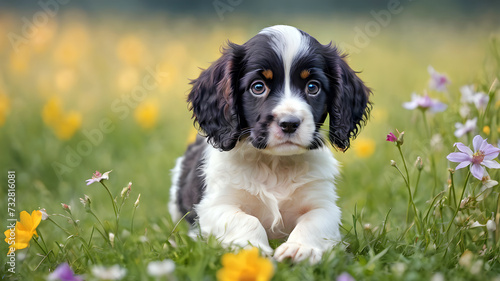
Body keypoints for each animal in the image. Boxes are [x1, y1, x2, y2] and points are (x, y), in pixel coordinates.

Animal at [170, 25, 370, 264]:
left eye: (313, 87)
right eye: (258, 87)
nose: (289, 123)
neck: (275, 164)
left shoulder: (323, 203)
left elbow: (314, 221)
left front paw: (300, 249)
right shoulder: (215, 205)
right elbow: (245, 219)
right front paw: (251, 249)